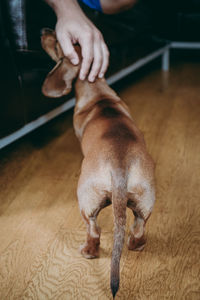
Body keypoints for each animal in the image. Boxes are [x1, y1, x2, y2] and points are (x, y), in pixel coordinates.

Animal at [41, 28, 156, 298]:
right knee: (138, 229)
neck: (98, 94)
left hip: (87, 202)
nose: (43, 31)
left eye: (59, 44)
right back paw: (136, 245)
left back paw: (88, 252)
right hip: (145, 201)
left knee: (94, 230)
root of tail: (119, 164)